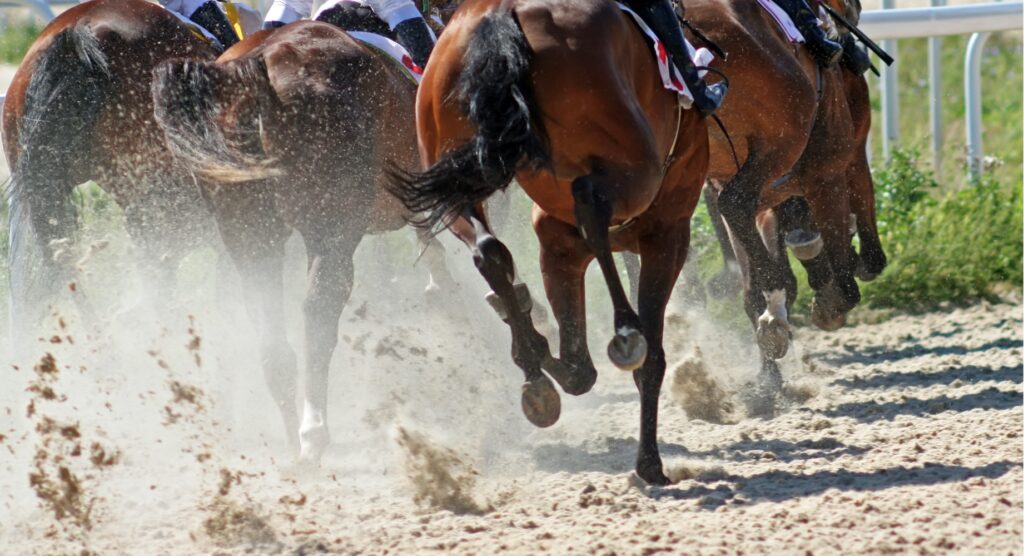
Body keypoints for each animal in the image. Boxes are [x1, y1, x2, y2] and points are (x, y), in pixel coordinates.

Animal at [150, 20, 452, 460]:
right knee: (318, 310)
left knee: (268, 322)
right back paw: (313, 430)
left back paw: (293, 435)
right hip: (331, 228)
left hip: (250, 234)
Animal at [391, 0, 712, 485]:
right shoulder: (668, 231)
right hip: (635, 168)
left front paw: (534, 347)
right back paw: (624, 331)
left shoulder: (556, 243)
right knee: (591, 201)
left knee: (489, 249)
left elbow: (579, 369)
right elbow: (648, 359)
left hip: (452, 167)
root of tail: (498, 13)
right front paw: (650, 463)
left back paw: (531, 359)